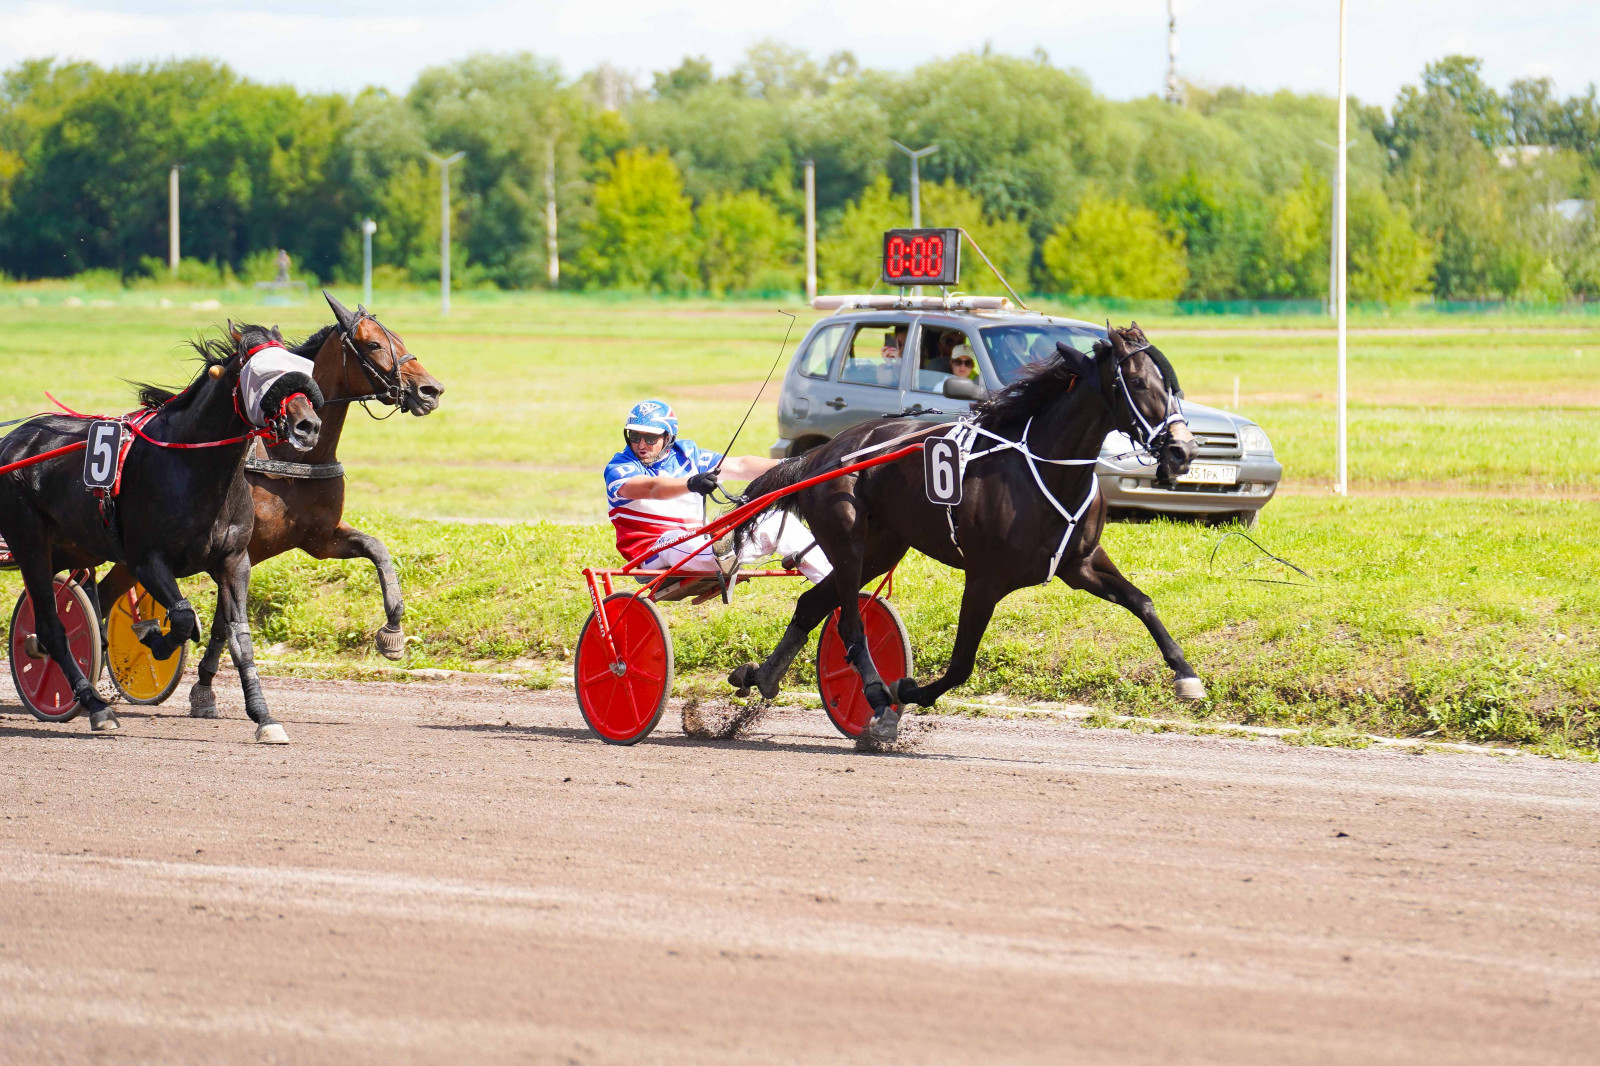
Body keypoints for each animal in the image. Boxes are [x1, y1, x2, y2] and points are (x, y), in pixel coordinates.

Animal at [0, 323, 321, 739]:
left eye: (301, 366)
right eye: (264, 373)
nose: (308, 426)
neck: (191, 465)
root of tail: (12, 441)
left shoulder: (234, 560)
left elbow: (239, 636)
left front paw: (264, 717)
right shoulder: (146, 560)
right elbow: (183, 618)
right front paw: (155, 639)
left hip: (73, 547)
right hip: (30, 544)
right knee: (52, 627)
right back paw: (96, 706)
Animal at [100, 291, 444, 713]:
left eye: (397, 337)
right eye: (374, 344)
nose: (431, 390)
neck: (292, 457)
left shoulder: (318, 539)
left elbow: (377, 549)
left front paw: (393, 631)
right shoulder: (236, 552)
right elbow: (224, 623)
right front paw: (205, 687)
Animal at [726, 321, 1203, 739]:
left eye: (1171, 384)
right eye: (1137, 383)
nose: (1183, 450)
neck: (1049, 471)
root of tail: (821, 455)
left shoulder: (1080, 563)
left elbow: (1142, 602)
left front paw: (1186, 675)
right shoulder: (984, 579)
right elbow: (961, 665)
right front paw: (907, 689)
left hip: (880, 548)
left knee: (810, 604)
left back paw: (762, 676)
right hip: (847, 542)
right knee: (849, 624)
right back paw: (877, 696)